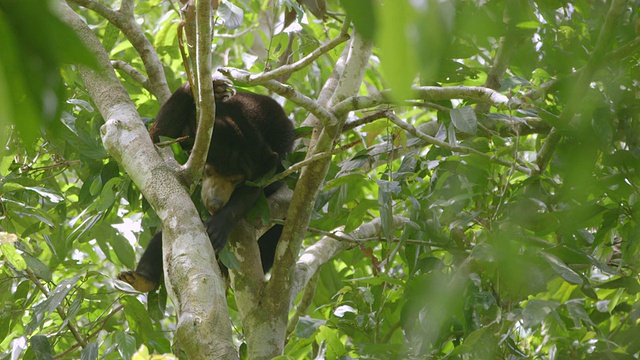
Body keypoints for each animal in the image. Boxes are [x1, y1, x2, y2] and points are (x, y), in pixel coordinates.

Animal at [117, 77, 296, 292]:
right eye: (208, 170)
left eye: (237, 179)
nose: (214, 203)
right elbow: (159, 138)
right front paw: (207, 88)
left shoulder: (274, 156)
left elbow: (255, 189)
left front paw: (219, 226)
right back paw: (142, 277)